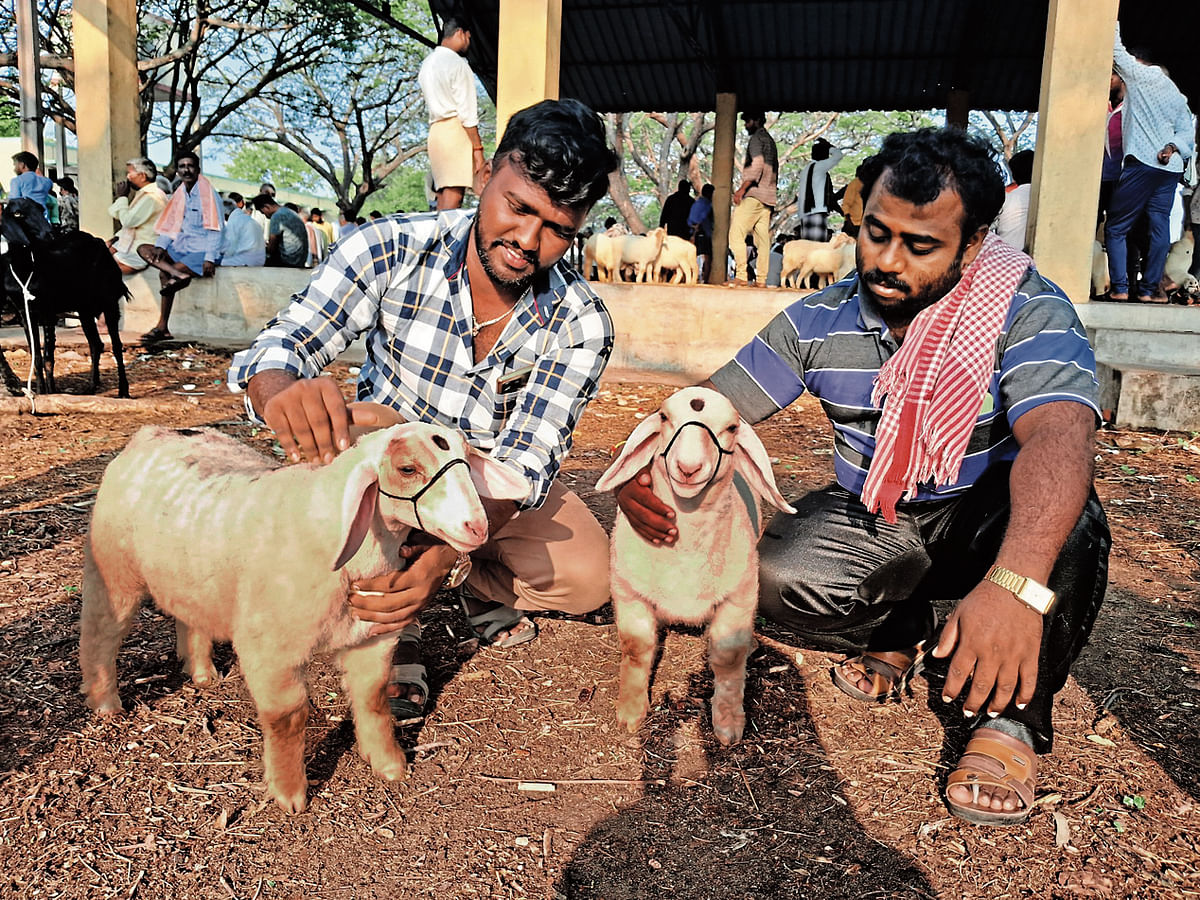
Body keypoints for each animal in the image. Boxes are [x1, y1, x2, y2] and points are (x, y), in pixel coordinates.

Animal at [0, 200, 129, 398]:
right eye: (17, 214)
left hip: (109, 301)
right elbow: (36, 357)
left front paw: (51, 392)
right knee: (96, 344)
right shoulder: (25, 314)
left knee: (115, 345)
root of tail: (98, 241)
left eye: (41, 208)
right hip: (84, 309)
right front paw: (39, 393)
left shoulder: (48, 312)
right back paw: (91, 388)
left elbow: (48, 357)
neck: (26, 269)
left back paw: (123, 391)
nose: (50, 234)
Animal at [82, 424, 528, 816]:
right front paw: (290, 793)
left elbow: (373, 697)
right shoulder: (271, 650)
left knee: (188, 616)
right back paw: (105, 704)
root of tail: (152, 433)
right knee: (100, 634)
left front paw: (389, 764)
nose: (477, 527)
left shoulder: (372, 637)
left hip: (190, 574)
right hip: (113, 571)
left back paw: (203, 673)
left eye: (466, 462)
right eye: (407, 469)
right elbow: (289, 719)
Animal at [592, 388, 796, 748]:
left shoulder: (739, 597)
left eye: (731, 427)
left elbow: (729, 657)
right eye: (663, 417)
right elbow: (636, 648)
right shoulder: (628, 593)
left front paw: (728, 724)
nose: (688, 467)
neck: (684, 559)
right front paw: (630, 711)